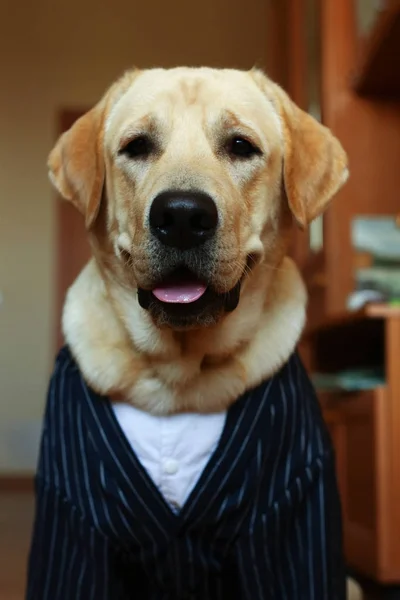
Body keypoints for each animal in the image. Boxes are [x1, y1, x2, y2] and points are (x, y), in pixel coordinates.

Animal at [26, 68, 348, 596]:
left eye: (240, 146)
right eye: (137, 146)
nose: (180, 215)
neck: (177, 375)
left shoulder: (293, 506)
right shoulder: (72, 516)